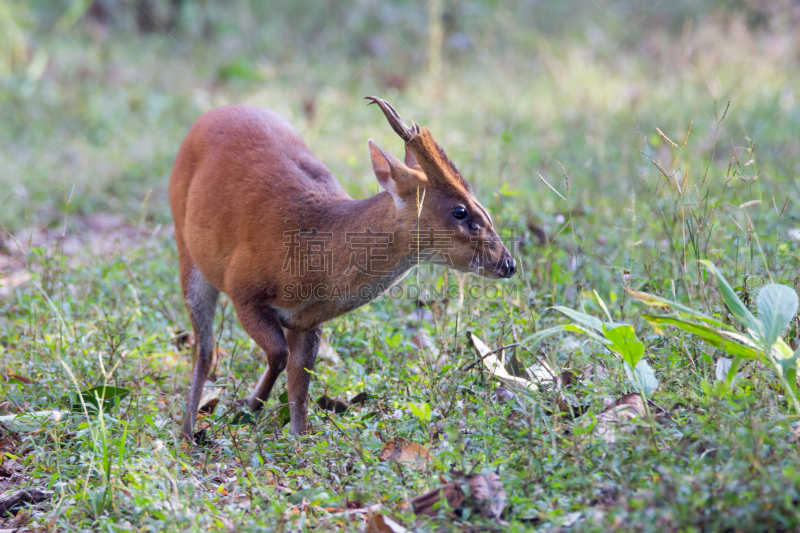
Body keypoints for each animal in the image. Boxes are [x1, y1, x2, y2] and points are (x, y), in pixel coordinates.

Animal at [171, 95, 516, 440]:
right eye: (460, 211)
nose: (508, 263)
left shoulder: (308, 321)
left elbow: (299, 386)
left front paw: (295, 438)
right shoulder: (243, 289)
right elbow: (279, 356)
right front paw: (247, 408)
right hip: (187, 249)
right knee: (205, 349)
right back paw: (188, 432)